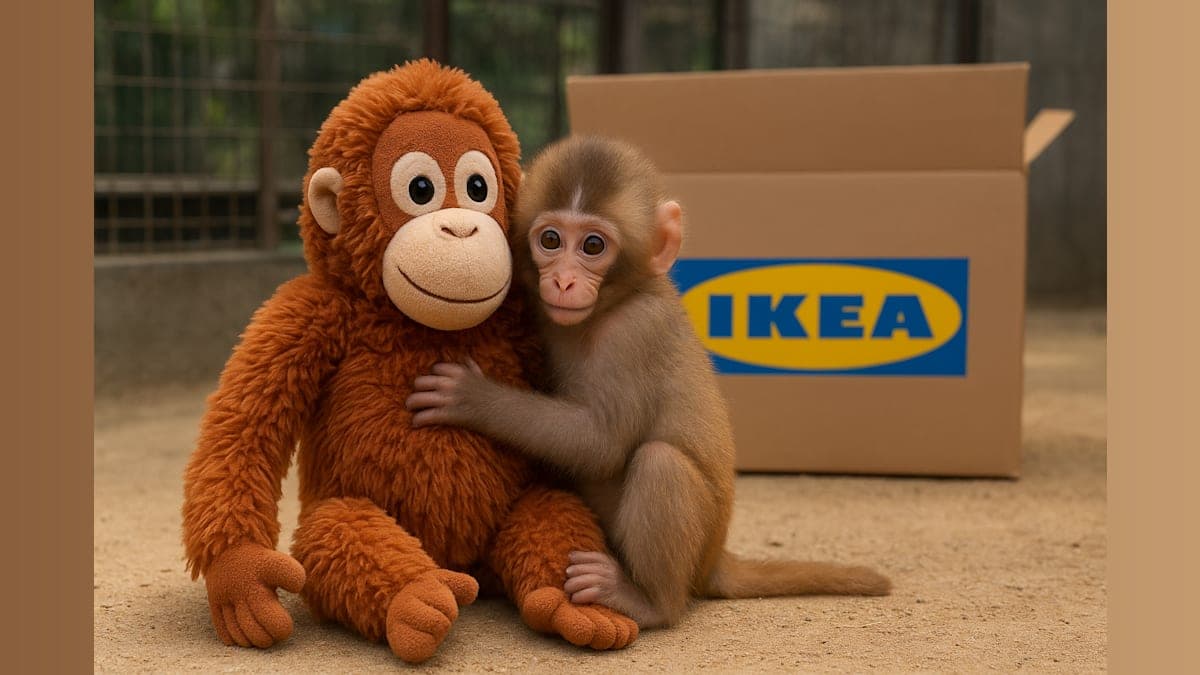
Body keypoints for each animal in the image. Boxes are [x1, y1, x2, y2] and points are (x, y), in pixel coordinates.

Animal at [405, 135, 892, 629]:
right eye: (550, 239)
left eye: (593, 245)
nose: (563, 281)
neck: (613, 304)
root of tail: (714, 562)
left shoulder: (636, 332)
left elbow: (600, 443)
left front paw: (472, 397)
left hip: (690, 554)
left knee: (661, 462)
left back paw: (646, 601)